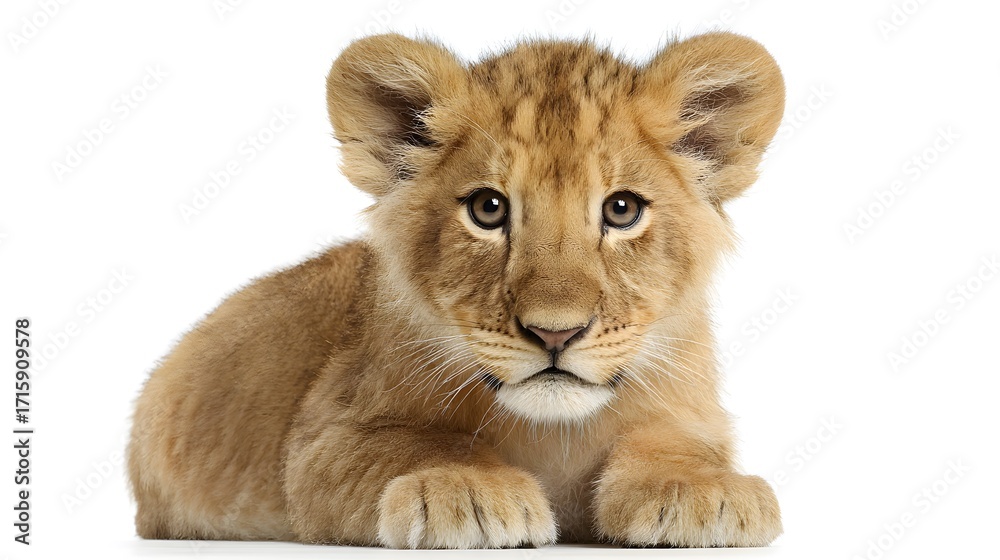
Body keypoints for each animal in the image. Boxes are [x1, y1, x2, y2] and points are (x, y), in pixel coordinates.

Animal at [127, 31, 785, 548]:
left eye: (621, 210)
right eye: (488, 209)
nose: (556, 334)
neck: (553, 434)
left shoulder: (689, 415)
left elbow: (677, 447)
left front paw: (704, 492)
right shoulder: (319, 443)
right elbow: (419, 444)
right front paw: (468, 490)